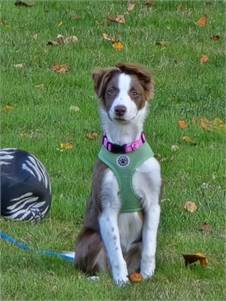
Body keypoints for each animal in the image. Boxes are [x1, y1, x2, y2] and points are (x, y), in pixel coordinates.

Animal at [75, 62, 162, 284]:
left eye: (134, 92)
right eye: (111, 91)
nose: (120, 109)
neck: (124, 151)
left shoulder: (153, 203)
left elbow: (150, 245)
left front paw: (148, 274)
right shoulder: (107, 207)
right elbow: (115, 250)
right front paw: (121, 281)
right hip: (92, 238)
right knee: (99, 267)